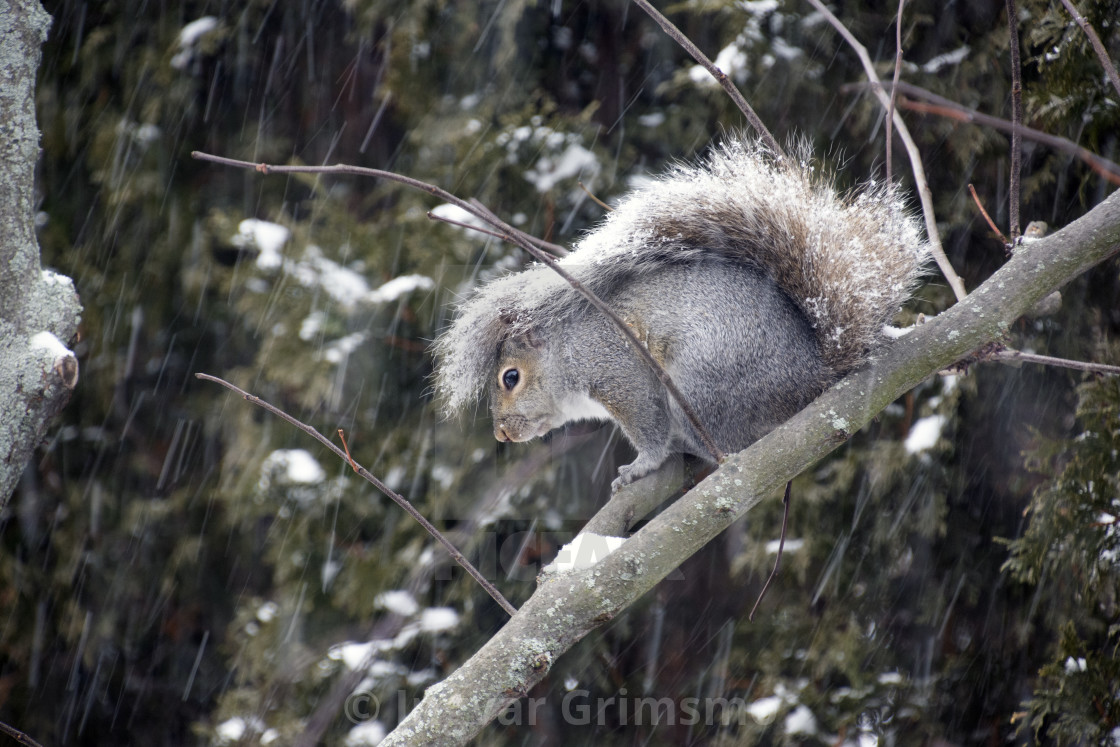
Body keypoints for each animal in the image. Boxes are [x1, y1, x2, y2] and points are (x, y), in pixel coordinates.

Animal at [432, 138, 931, 490]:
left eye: (510, 377)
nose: (501, 434)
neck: (567, 352)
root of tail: (815, 374)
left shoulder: (621, 372)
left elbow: (648, 430)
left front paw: (639, 468)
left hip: (700, 381)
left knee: (731, 442)